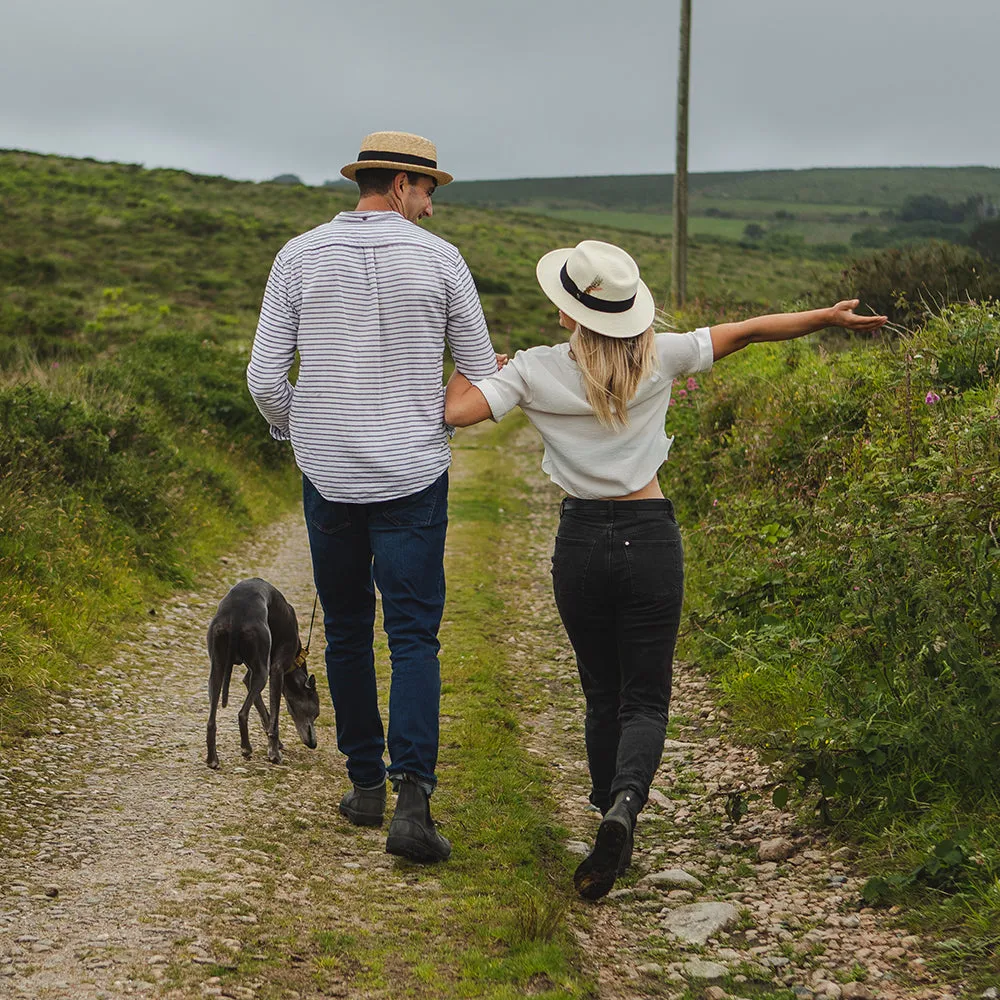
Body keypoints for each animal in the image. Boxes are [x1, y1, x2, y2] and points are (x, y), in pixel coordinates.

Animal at [207, 576, 320, 768]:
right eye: (316, 713)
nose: (314, 744)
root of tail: (236, 614)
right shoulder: (276, 671)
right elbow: (274, 718)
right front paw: (274, 752)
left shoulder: (251, 676)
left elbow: (263, 710)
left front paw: (277, 744)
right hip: (261, 672)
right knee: (242, 713)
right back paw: (246, 748)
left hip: (218, 668)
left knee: (211, 720)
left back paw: (212, 758)